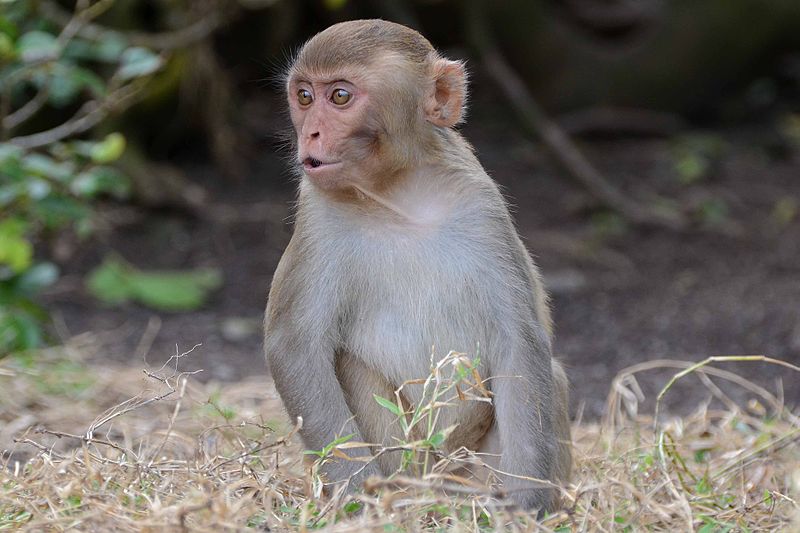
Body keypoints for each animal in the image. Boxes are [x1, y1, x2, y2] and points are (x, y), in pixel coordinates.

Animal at [266, 19, 572, 512]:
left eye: (340, 96)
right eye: (305, 96)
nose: (308, 134)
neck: (399, 196)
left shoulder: (480, 206)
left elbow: (519, 342)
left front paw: (527, 504)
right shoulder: (317, 216)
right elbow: (294, 347)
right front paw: (357, 498)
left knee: (554, 376)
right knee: (350, 365)